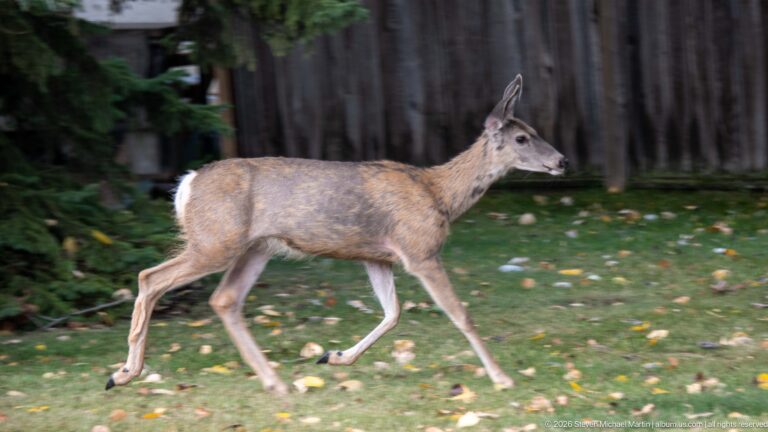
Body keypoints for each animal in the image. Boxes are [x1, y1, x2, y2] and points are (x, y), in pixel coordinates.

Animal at [106, 75, 567, 394]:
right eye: (522, 137)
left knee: (224, 299)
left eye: (537, 131)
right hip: (216, 240)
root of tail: (186, 185)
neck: (438, 193)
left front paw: (335, 357)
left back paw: (275, 382)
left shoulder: (377, 256)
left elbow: (393, 313)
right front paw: (503, 377)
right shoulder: (419, 248)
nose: (561, 161)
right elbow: (460, 313)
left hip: (254, 247)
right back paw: (125, 373)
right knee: (151, 277)